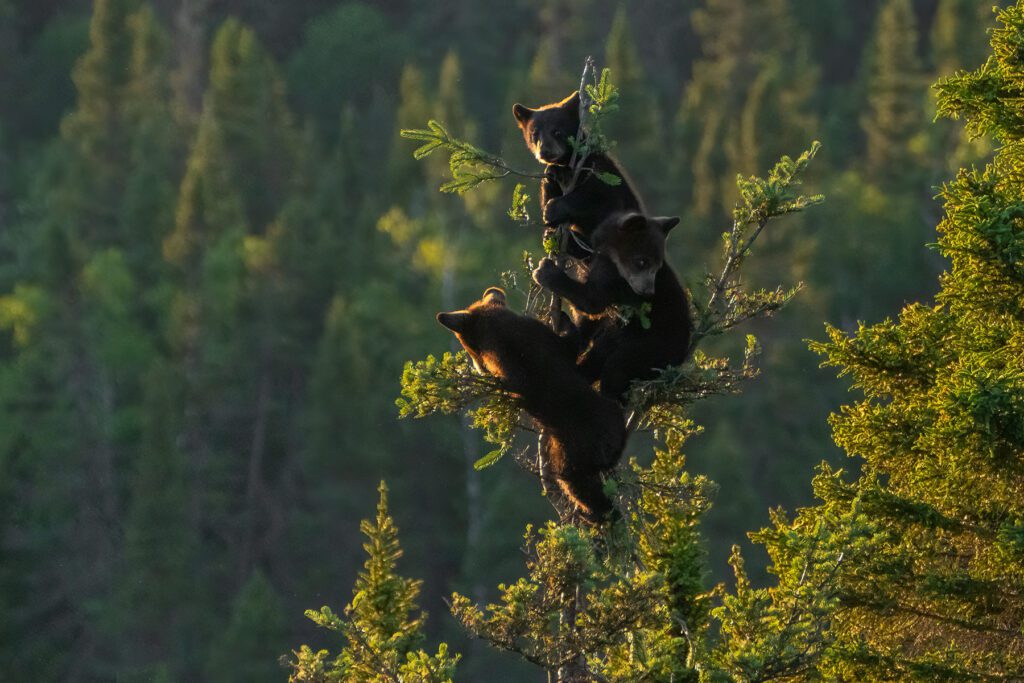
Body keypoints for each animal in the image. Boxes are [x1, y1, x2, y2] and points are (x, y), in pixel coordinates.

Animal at [436, 287, 626, 521]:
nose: (478, 367)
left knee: (581, 487)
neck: (497, 325)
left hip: (575, 455)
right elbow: (574, 342)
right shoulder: (551, 341)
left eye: (469, 349)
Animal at [512, 91, 643, 247]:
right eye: (534, 134)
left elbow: (602, 202)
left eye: (557, 131)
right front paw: (554, 172)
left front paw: (552, 210)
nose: (545, 151)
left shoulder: (601, 172)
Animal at [532, 212, 693, 402]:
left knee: (617, 368)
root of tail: (680, 359)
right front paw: (556, 236)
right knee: (600, 353)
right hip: (621, 335)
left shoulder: (615, 282)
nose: (648, 292)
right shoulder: (600, 260)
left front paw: (545, 271)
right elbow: (587, 253)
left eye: (657, 266)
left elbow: (592, 301)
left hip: (652, 347)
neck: (613, 257)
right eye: (642, 261)